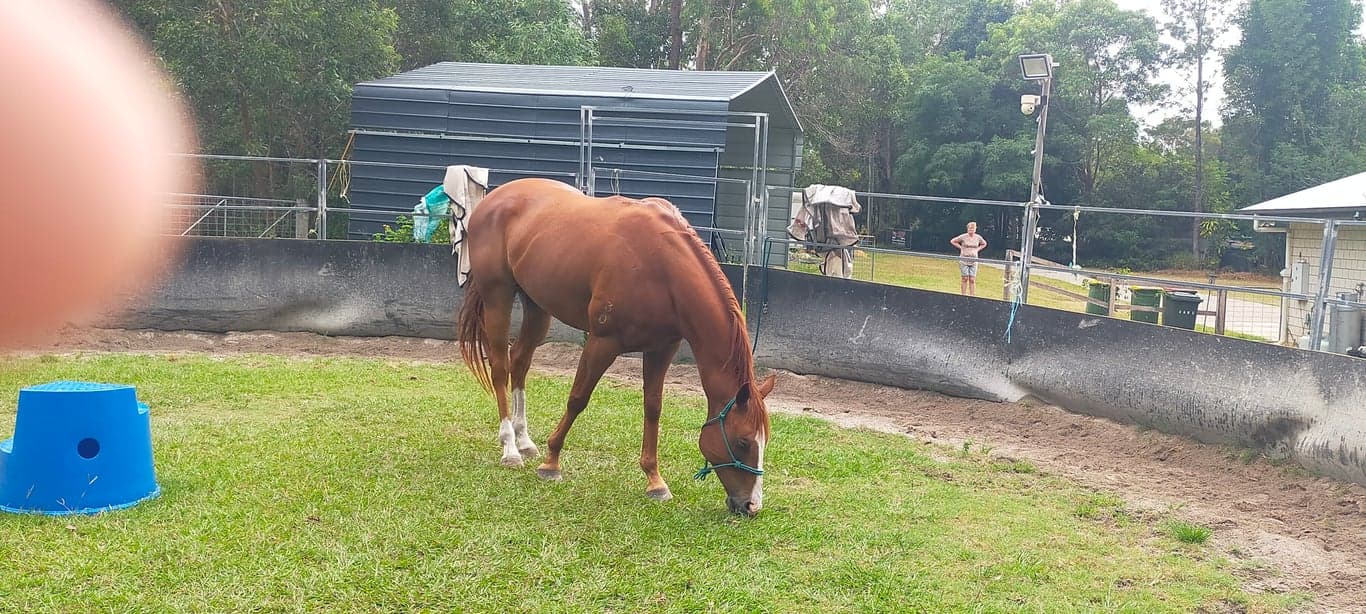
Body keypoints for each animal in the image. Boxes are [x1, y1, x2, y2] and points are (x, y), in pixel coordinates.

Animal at [455, 178, 774, 516]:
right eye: (743, 442)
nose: (751, 506)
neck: (662, 266)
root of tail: (495, 198)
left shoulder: (662, 349)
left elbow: (653, 407)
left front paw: (655, 480)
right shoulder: (602, 342)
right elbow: (577, 399)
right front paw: (551, 463)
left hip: (537, 307)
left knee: (519, 362)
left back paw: (524, 440)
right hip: (498, 297)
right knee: (500, 366)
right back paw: (510, 448)